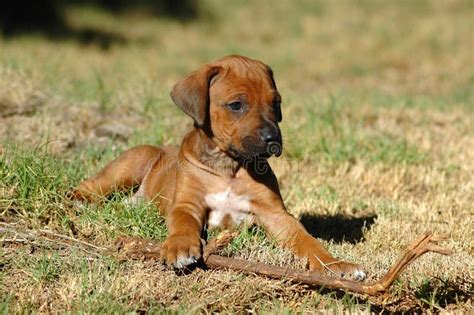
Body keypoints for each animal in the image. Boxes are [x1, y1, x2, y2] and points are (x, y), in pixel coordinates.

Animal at [73, 55, 366, 282]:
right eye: (236, 105)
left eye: (276, 103)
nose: (273, 138)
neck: (229, 166)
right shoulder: (187, 204)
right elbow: (183, 223)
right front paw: (180, 247)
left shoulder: (276, 215)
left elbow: (307, 240)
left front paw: (335, 265)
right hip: (131, 164)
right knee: (94, 184)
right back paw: (78, 198)